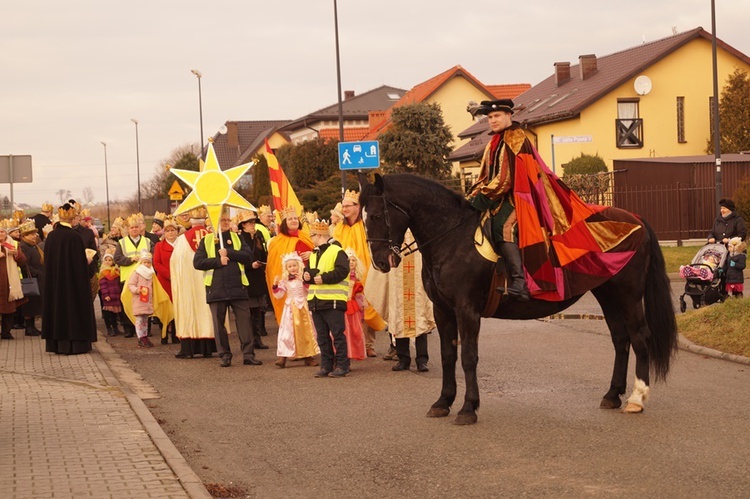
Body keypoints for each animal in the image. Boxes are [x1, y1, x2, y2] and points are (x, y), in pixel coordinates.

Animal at [360, 175, 680, 426]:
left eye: (375, 216)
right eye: (362, 218)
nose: (380, 262)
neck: (452, 237)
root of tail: (636, 219)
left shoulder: (467, 310)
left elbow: (469, 357)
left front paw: (468, 408)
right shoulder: (443, 311)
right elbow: (449, 355)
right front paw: (443, 402)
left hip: (628, 295)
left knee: (639, 338)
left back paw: (637, 398)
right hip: (608, 295)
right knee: (620, 340)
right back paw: (612, 394)